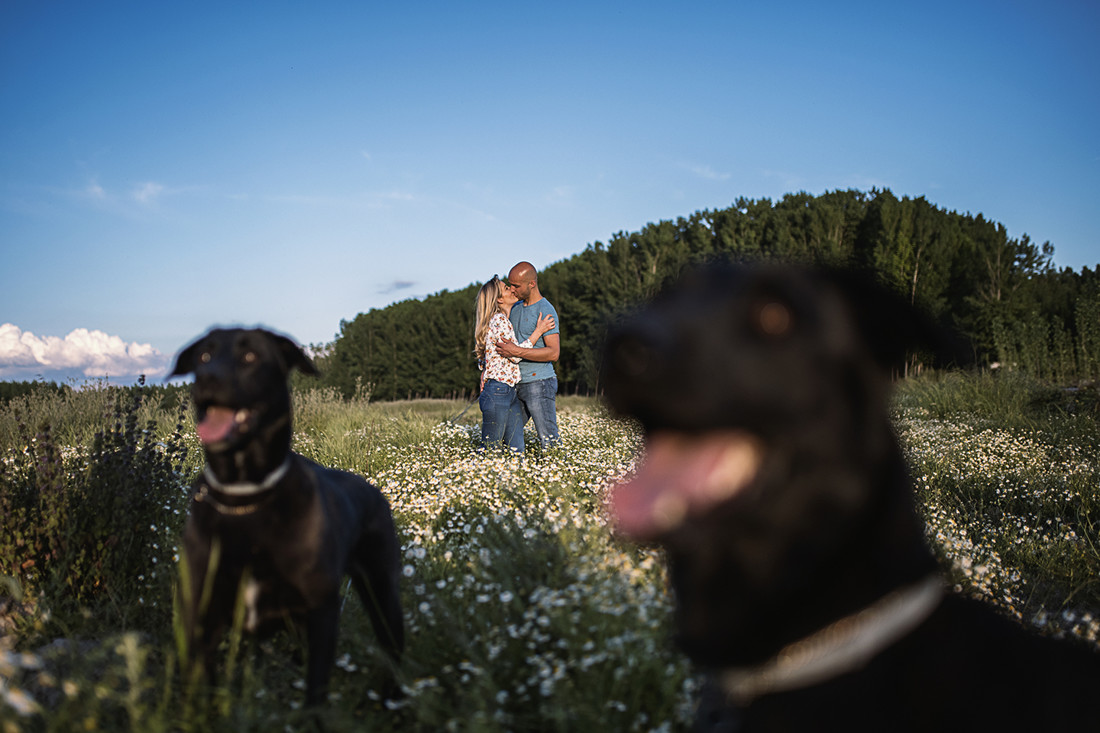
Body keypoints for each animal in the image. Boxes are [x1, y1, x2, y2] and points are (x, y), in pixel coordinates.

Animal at [167, 327, 400, 704]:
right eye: (204, 356)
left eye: (250, 356)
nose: (208, 378)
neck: (246, 497)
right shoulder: (199, 620)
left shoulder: (321, 613)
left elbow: (315, 696)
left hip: (383, 593)